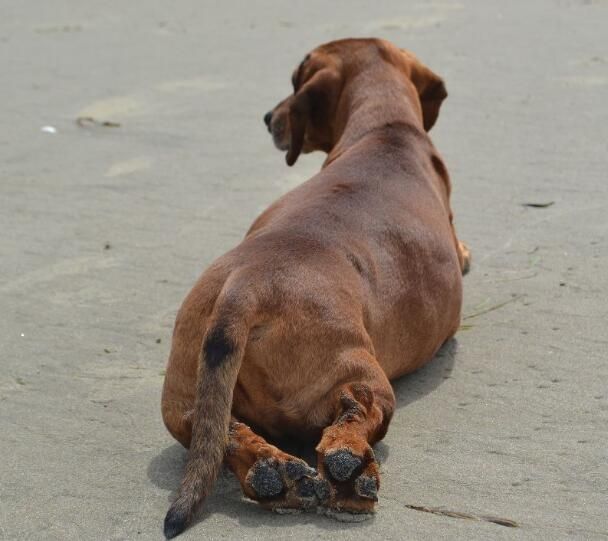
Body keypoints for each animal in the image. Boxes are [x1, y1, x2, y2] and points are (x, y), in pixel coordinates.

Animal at [160, 37, 470, 536]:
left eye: (294, 81)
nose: (268, 117)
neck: (384, 129)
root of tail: (244, 287)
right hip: (362, 372)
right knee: (359, 409)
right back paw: (349, 470)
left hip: (185, 390)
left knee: (215, 431)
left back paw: (271, 473)